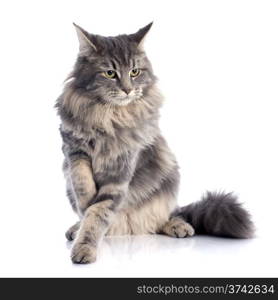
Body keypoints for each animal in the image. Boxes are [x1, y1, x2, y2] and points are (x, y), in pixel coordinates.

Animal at [54, 22, 254, 262]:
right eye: (110, 73)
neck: (109, 116)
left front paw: (84, 248)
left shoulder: (122, 168)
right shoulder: (74, 152)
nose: (127, 89)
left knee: (166, 217)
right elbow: (82, 184)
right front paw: (84, 205)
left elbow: (98, 211)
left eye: (135, 72)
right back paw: (76, 228)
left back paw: (178, 226)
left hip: (170, 180)